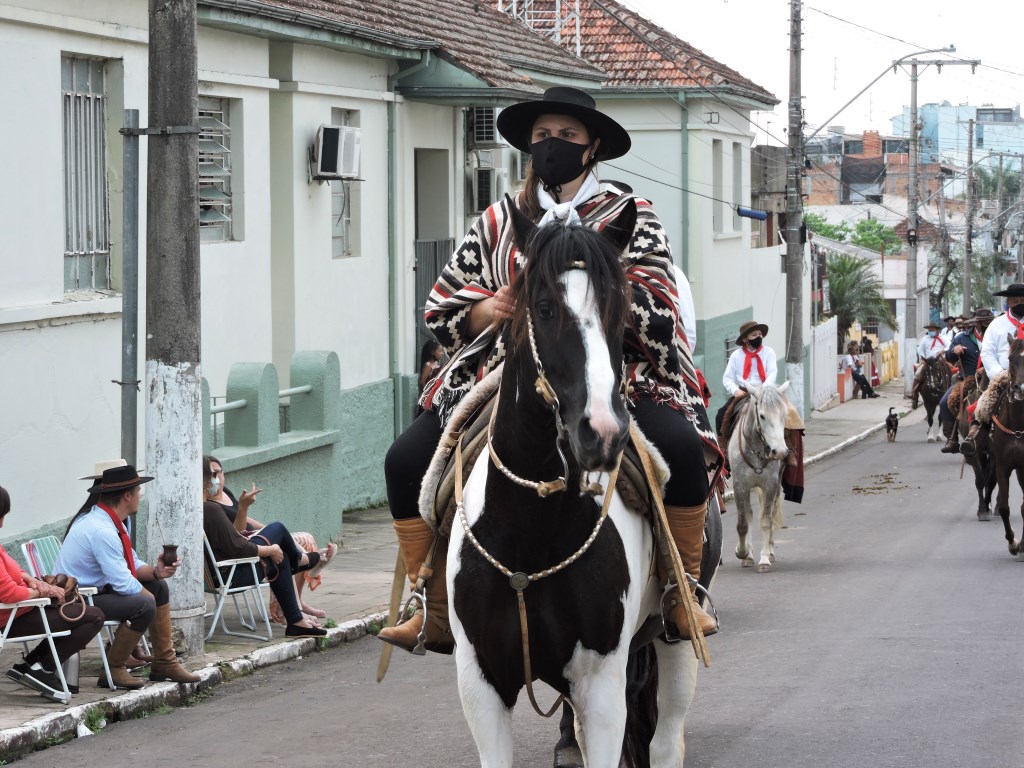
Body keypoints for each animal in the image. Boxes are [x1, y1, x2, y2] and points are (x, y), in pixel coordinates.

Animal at [452, 201, 708, 768]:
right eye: (545, 307)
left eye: (622, 310)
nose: (603, 432)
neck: (529, 537)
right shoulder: (480, 683)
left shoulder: (601, 685)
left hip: (674, 637)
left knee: (667, 737)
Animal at [729, 382, 790, 573]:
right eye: (762, 416)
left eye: (784, 415)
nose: (780, 452)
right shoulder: (740, 485)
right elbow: (742, 523)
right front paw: (742, 552)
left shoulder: (770, 484)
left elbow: (766, 521)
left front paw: (764, 559)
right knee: (748, 513)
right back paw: (748, 555)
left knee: (770, 513)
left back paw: (769, 551)